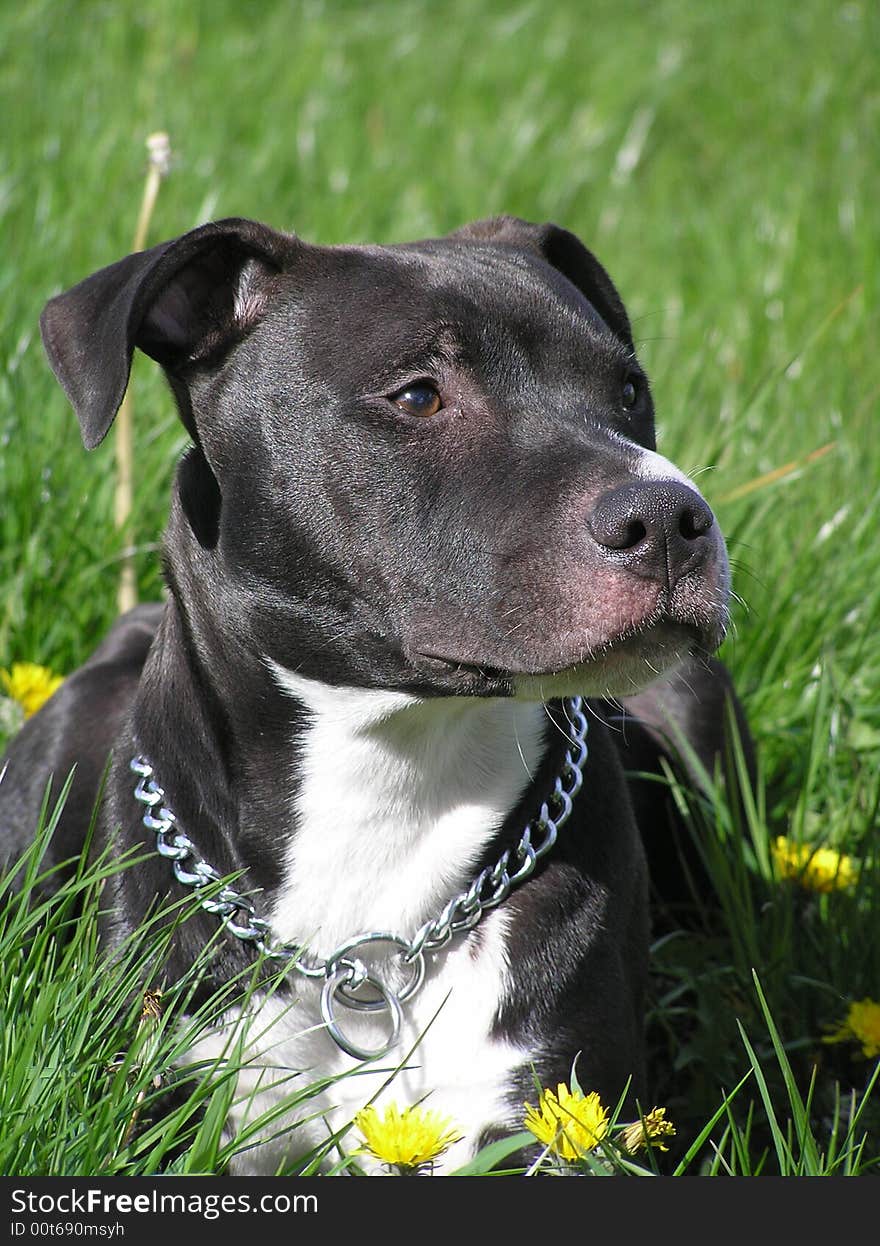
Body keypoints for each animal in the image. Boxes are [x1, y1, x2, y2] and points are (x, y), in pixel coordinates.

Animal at [0, 219, 742, 1171]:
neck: (392, 766)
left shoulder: (557, 1118)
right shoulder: (159, 1112)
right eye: (419, 395)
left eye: (627, 390)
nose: (672, 517)